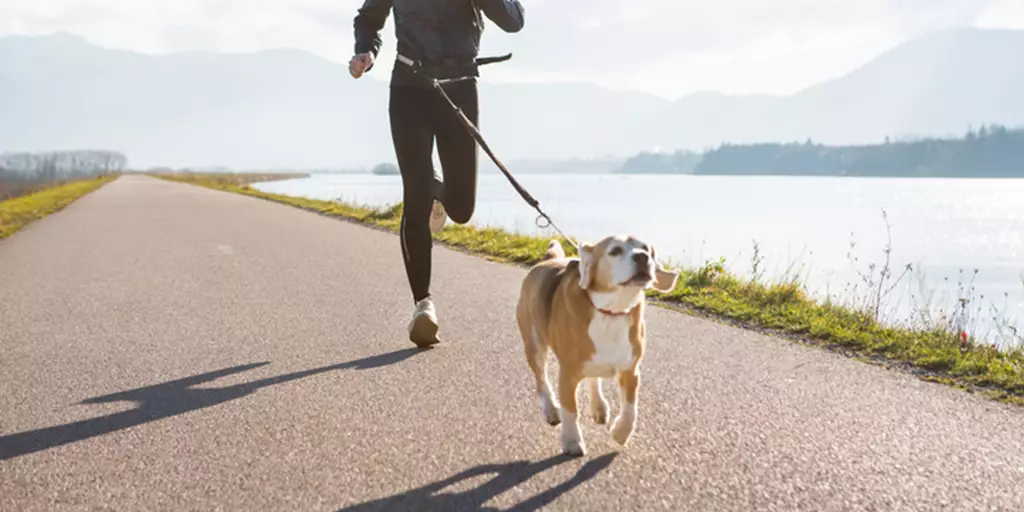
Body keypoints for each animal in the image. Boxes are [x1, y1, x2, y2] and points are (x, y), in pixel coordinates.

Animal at [512, 235, 679, 456]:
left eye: (646, 249)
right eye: (615, 251)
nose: (643, 257)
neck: (612, 311)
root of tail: (548, 260)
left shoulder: (631, 371)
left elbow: (631, 409)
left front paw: (620, 433)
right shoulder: (568, 374)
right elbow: (570, 410)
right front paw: (572, 441)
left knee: (593, 377)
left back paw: (598, 406)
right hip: (534, 345)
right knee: (542, 380)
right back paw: (551, 409)